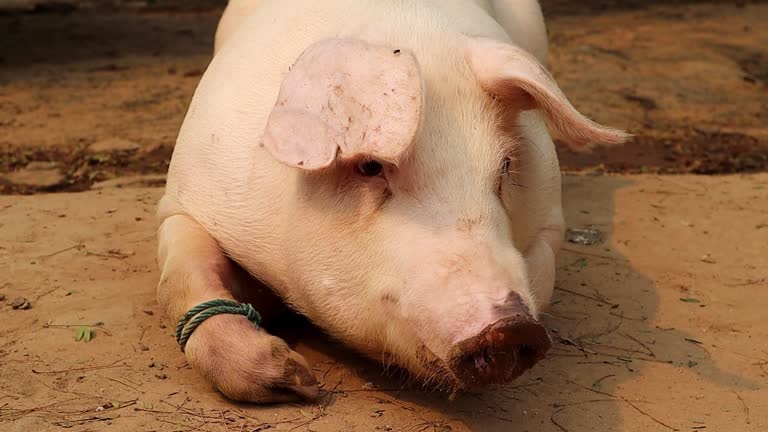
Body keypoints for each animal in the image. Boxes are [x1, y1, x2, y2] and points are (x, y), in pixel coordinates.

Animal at [154, 0, 624, 404]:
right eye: (370, 167)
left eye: (505, 165)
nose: (512, 330)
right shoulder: (186, 193)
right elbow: (181, 273)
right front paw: (299, 384)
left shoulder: (551, 219)